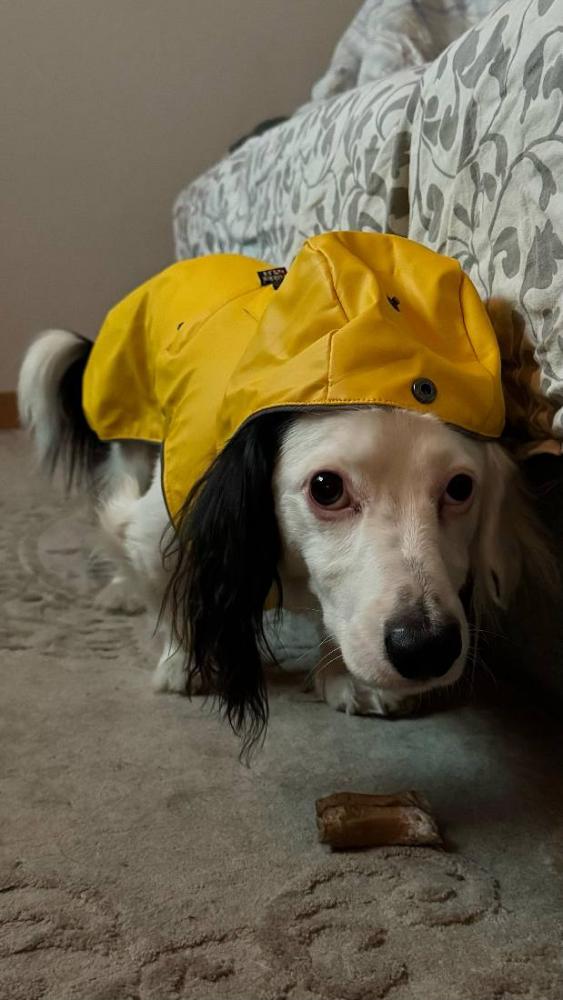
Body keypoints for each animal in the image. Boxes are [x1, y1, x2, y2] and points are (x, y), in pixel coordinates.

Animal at [17, 232, 554, 749]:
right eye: (326, 487)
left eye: (460, 487)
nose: (425, 648)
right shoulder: (164, 526)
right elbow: (163, 581)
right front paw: (182, 662)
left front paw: (342, 673)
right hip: (132, 426)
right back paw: (118, 590)